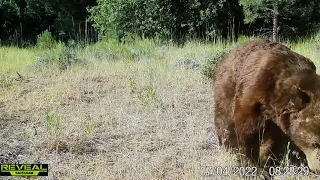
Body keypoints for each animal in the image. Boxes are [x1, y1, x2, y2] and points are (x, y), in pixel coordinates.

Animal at [212, 39, 320, 174]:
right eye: (315, 144)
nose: (318, 169)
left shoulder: (277, 116)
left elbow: (272, 139)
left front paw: (268, 160)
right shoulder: (253, 92)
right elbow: (246, 131)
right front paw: (253, 167)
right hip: (226, 87)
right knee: (224, 119)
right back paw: (227, 145)